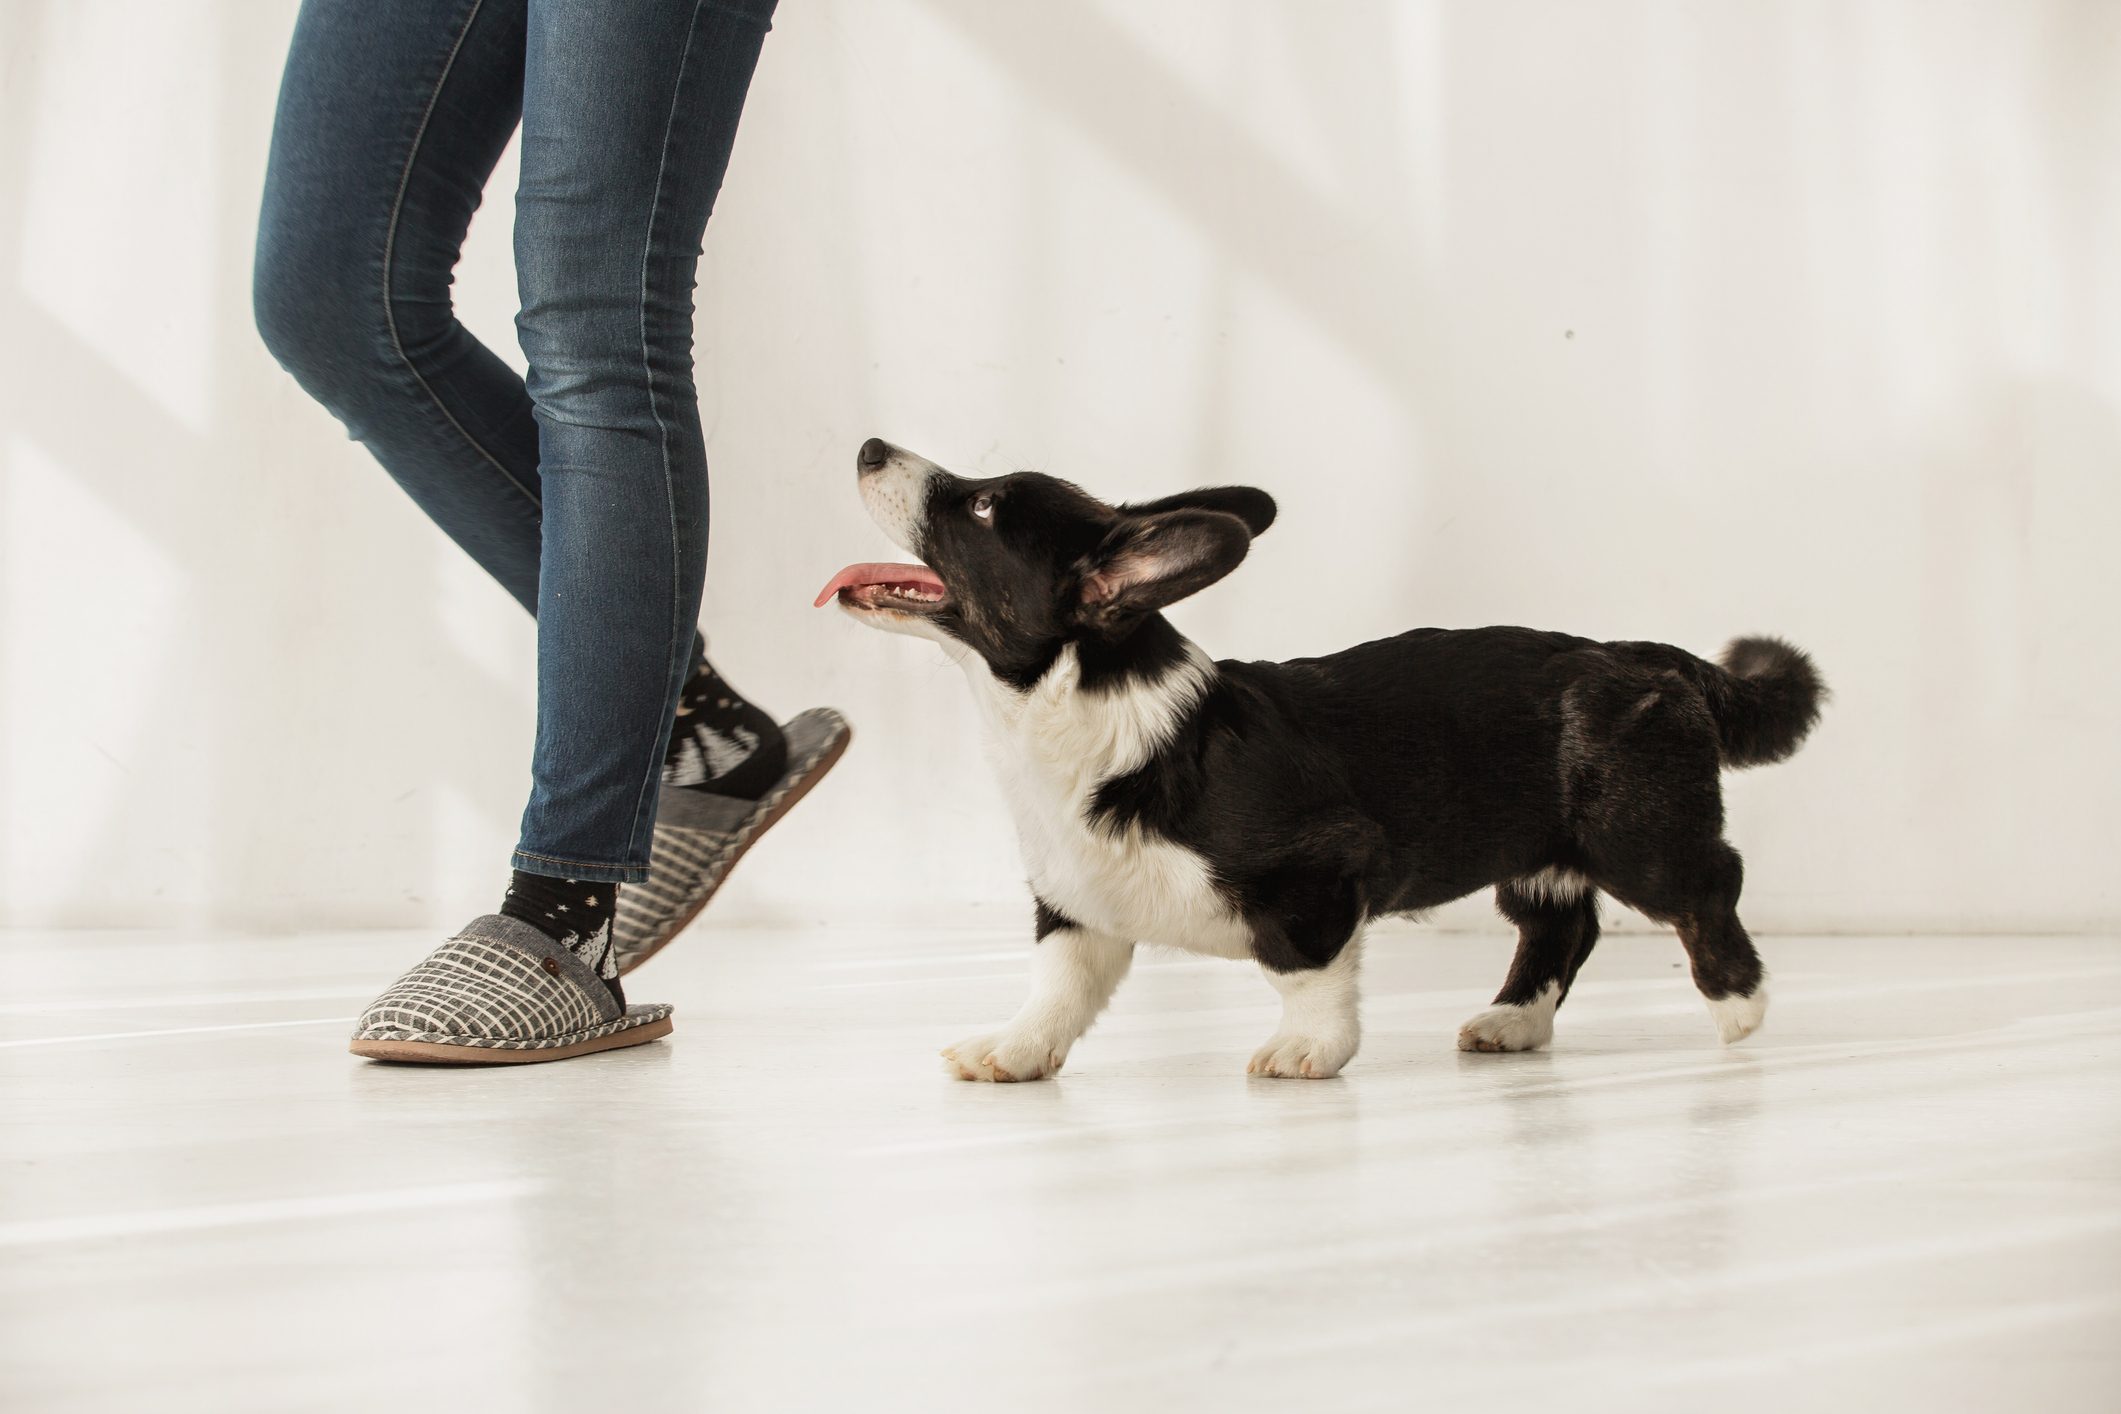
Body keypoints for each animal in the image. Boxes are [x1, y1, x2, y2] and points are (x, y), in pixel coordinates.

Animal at [814, 436, 1824, 1076]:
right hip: (1542, 851)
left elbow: (1301, 969)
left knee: (1705, 886)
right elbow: (1057, 987)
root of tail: (1647, 655)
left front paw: (1308, 1051)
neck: (1064, 705)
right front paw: (1013, 1051)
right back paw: (1512, 1020)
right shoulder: (1074, 904)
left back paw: (1738, 1004)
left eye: (982, 507)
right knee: (1558, 926)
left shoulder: (1318, 873)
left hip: (1635, 831)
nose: (868, 445)